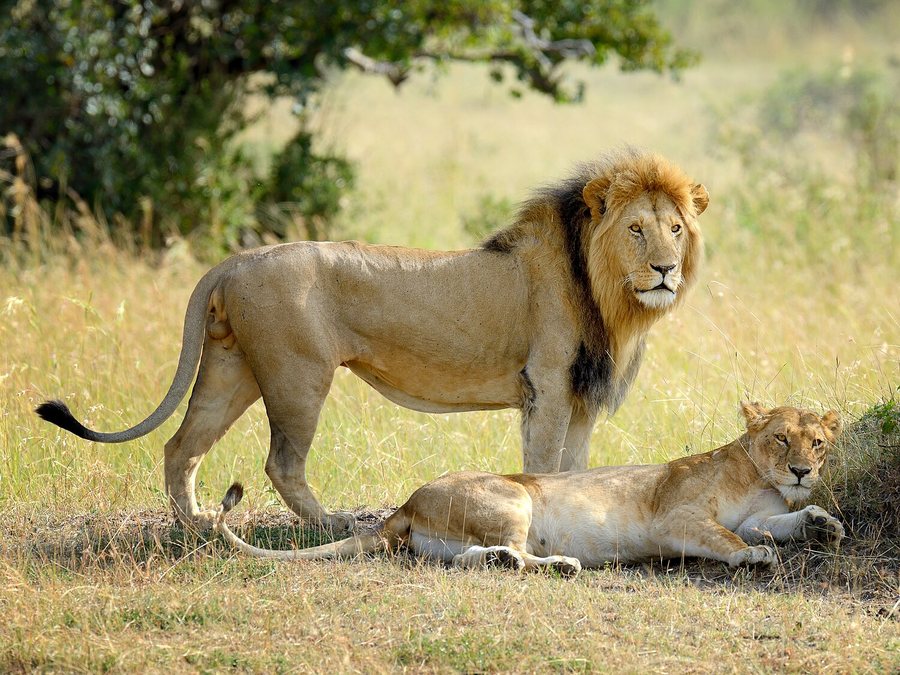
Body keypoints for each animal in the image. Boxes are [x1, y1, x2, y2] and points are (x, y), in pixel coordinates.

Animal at [35, 147, 708, 533]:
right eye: (637, 229)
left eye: (676, 229)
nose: (665, 270)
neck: (608, 295)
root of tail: (236, 260)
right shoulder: (544, 385)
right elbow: (544, 466)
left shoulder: (582, 397)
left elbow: (576, 467)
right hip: (297, 375)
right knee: (280, 461)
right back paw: (330, 524)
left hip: (231, 368)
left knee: (181, 447)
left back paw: (196, 526)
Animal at [213, 403, 845, 575]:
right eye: (782, 439)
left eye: (817, 443)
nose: (801, 470)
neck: (756, 474)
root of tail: (408, 502)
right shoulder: (676, 518)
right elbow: (731, 539)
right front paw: (755, 556)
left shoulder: (760, 512)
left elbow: (780, 521)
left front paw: (822, 522)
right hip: (513, 498)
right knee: (519, 553)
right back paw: (561, 564)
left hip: (452, 538)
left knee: (468, 558)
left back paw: (507, 561)